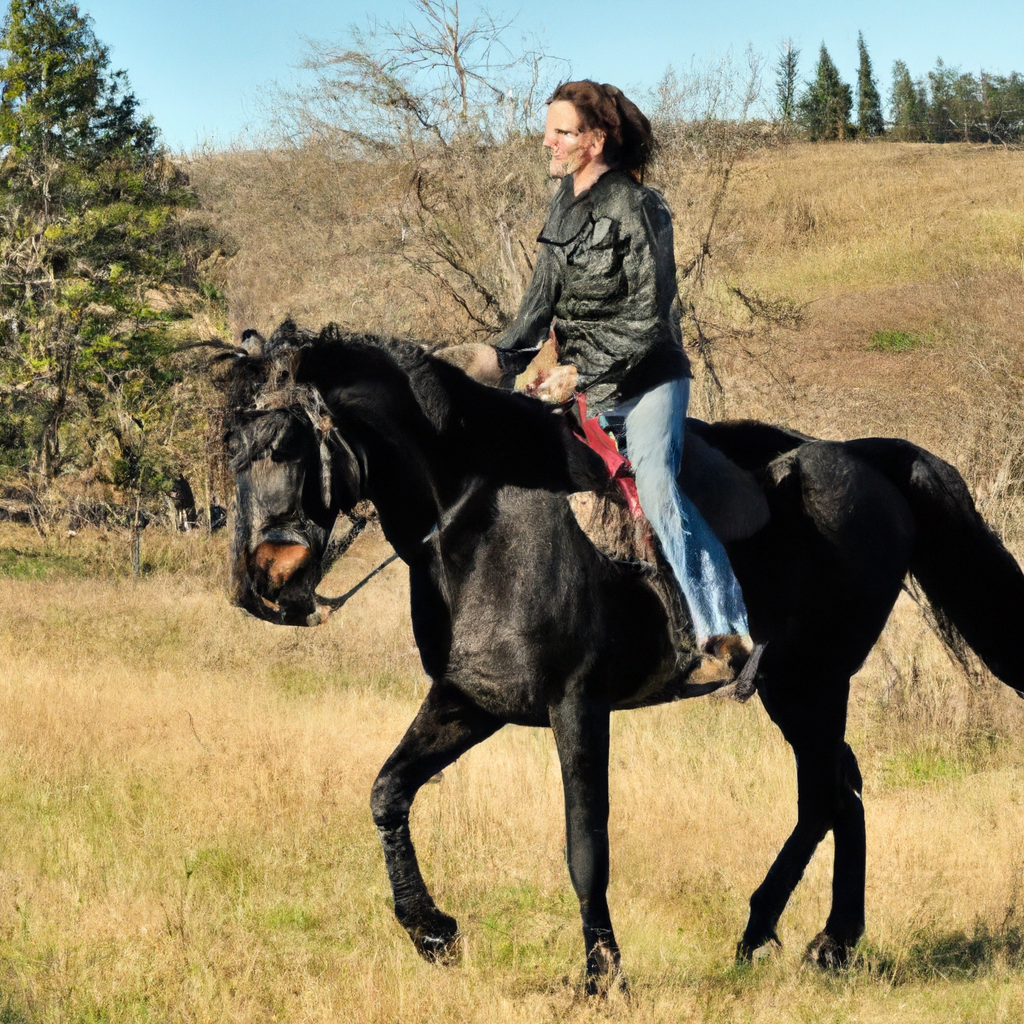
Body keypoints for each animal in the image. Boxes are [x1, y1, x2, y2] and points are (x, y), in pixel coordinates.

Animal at [224, 323, 1024, 987]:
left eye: (285, 445)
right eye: (233, 451)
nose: (264, 582)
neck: (484, 515)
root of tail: (868, 460)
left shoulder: (579, 706)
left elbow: (586, 845)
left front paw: (602, 975)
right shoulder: (470, 701)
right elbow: (387, 793)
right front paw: (432, 932)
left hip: (813, 683)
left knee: (822, 797)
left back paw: (786, 932)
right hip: (797, 688)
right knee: (842, 791)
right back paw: (821, 940)